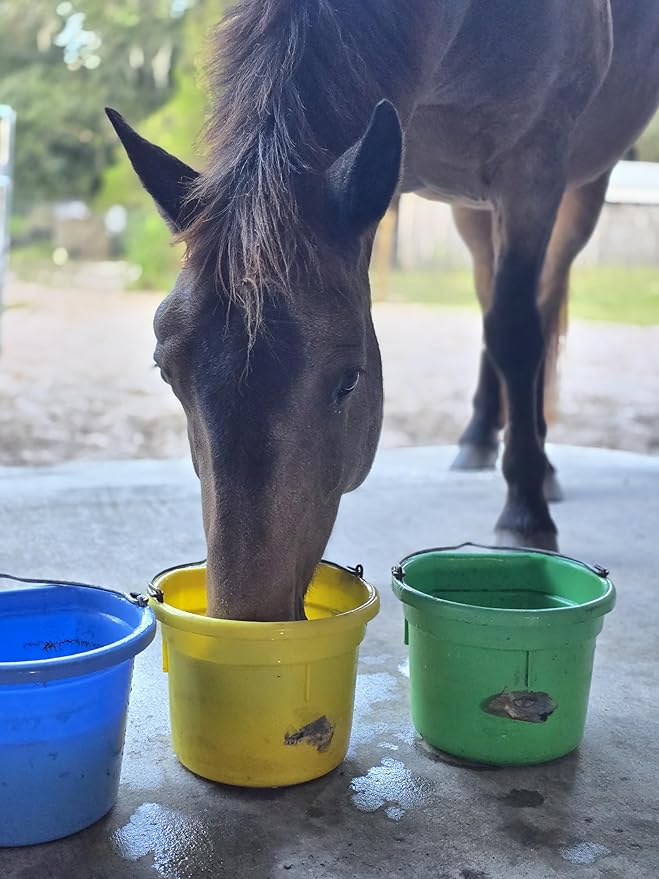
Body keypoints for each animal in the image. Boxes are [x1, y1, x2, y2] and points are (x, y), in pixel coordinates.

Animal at [107, 0, 659, 621]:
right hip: (472, 212)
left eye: (350, 381)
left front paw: (526, 514)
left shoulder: (534, 171)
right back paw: (479, 437)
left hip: (577, 189)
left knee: (533, 303)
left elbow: (517, 333)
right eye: (167, 372)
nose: (247, 613)